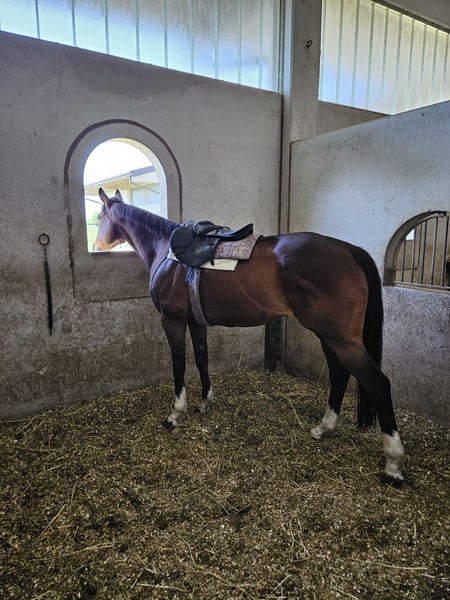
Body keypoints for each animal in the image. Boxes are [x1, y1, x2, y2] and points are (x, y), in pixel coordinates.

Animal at [94, 188, 405, 486]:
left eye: (99, 218)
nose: (96, 245)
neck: (167, 250)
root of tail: (348, 249)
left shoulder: (173, 320)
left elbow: (179, 365)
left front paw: (176, 414)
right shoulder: (195, 322)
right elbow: (202, 359)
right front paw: (205, 402)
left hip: (341, 338)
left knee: (377, 383)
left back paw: (393, 464)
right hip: (328, 336)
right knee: (340, 374)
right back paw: (324, 428)